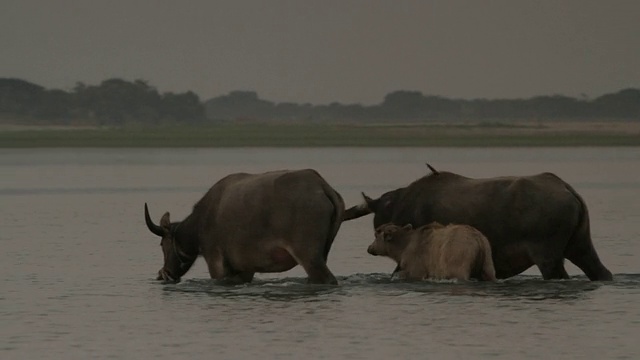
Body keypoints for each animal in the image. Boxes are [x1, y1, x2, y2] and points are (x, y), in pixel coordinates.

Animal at [145, 169, 344, 284]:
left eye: (162, 245)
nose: (164, 274)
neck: (200, 224)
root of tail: (322, 186)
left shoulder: (216, 263)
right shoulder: (245, 268)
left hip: (309, 257)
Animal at [368, 222, 498, 282]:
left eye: (376, 235)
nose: (369, 248)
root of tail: (478, 240)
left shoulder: (416, 264)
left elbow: (410, 273)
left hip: (460, 255)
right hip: (487, 257)